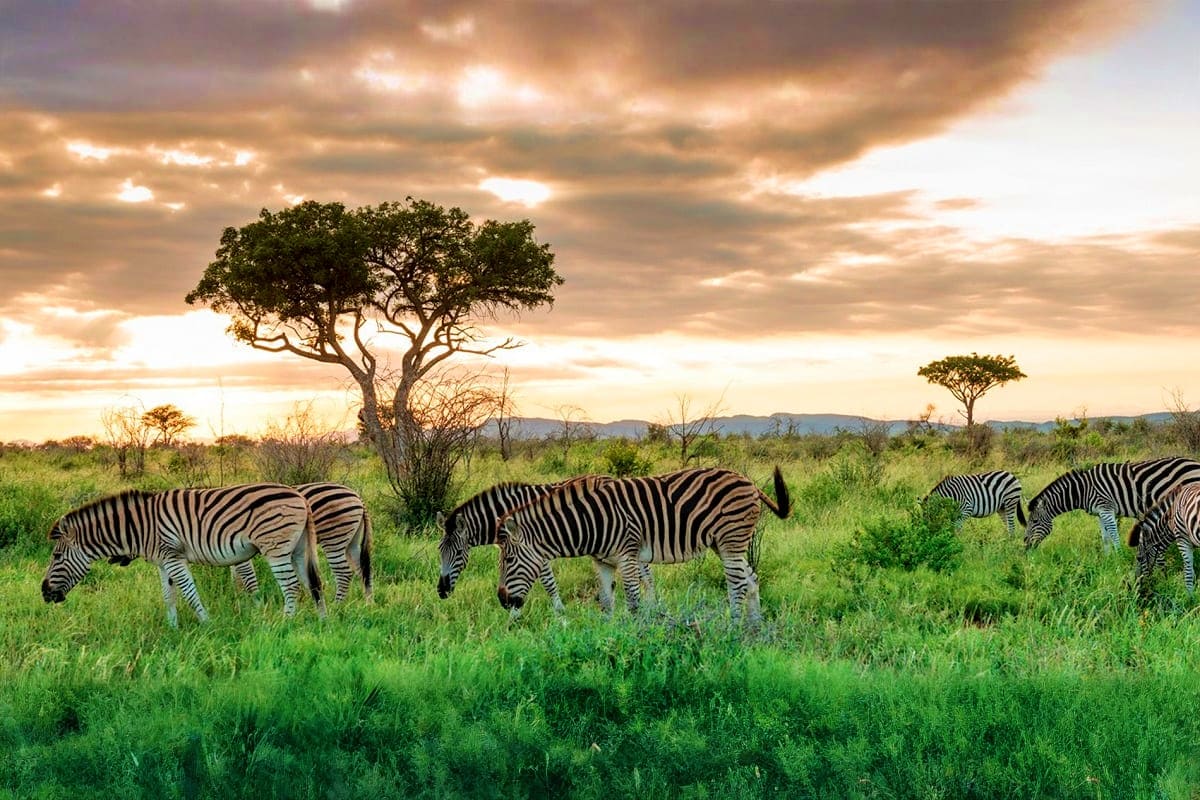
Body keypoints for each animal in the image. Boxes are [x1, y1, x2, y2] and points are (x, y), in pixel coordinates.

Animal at [41, 484, 325, 627]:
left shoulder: (173, 556)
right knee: (314, 584)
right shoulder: (162, 563)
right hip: (298, 548)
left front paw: (207, 625)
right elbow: (169, 596)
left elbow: (189, 593)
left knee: (292, 587)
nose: (44, 593)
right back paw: (324, 623)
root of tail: (299, 495)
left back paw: (285, 624)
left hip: (275, 548)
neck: (139, 526)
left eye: (56, 557)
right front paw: (173, 629)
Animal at [231, 482, 373, 603]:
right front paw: (238, 599)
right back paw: (368, 605)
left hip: (334, 538)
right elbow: (236, 577)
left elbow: (247, 578)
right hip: (352, 542)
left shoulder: (239, 546)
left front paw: (254, 604)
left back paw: (337, 605)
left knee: (344, 573)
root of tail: (357, 496)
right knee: (363, 570)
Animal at [436, 478, 653, 614]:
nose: (441, 591)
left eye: (458, 553)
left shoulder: (533, 549)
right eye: (439, 552)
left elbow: (547, 582)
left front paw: (556, 614)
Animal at [495, 466, 791, 624]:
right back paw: (755, 629)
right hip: (726, 544)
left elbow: (633, 602)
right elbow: (606, 602)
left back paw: (733, 629)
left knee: (737, 585)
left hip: (731, 540)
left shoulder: (627, 556)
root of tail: (750, 483)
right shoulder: (602, 561)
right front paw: (606, 638)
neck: (591, 522)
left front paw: (636, 637)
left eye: (507, 561)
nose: (502, 601)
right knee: (751, 581)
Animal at [1024, 456, 1200, 551]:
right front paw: (1107, 558)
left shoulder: (1106, 509)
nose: (1025, 545)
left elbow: (1114, 535)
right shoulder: (1100, 513)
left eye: (1034, 521)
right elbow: (1105, 538)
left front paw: (1119, 556)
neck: (1083, 490)